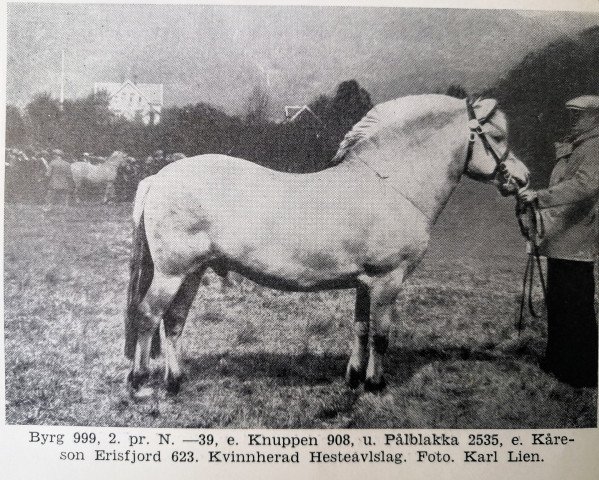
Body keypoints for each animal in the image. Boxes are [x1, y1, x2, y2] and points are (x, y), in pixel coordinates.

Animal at [123, 94, 528, 398]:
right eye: (497, 136)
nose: (523, 179)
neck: (391, 185)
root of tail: (159, 177)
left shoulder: (366, 282)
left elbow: (361, 328)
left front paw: (354, 377)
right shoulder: (388, 280)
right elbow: (381, 335)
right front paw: (376, 384)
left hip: (192, 272)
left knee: (173, 321)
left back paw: (175, 381)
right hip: (171, 273)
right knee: (148, 315)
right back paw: (139, 380)